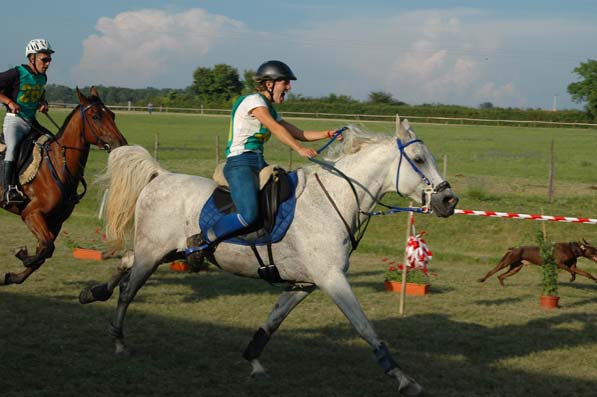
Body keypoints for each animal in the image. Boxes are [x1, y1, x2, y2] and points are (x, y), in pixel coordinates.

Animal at [0, 86, 127, 284]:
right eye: (95, 116)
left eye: (112, 115)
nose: (121, 144)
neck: (59, 165)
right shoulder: (31, 213)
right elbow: (46, 249)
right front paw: (22, 255)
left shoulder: (56, 221)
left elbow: (45, 251)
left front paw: (14, 276)